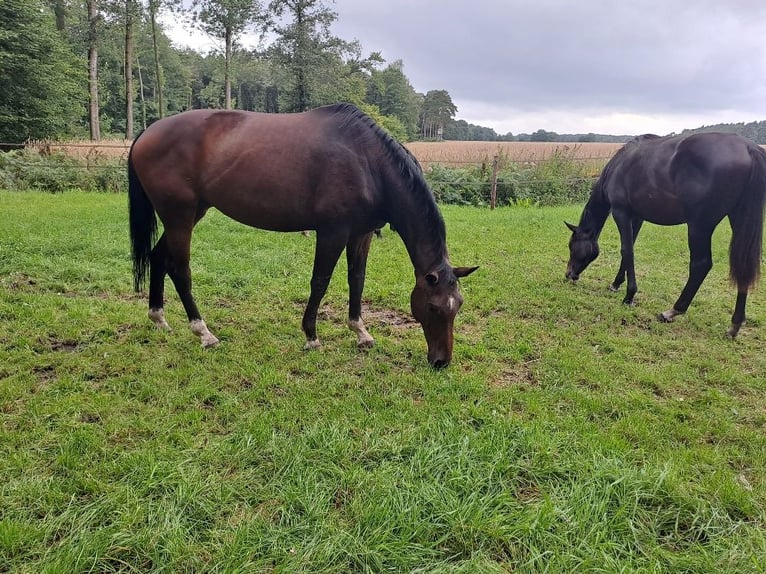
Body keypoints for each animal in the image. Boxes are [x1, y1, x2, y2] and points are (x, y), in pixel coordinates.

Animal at [130, 103, 480, 368]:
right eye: (433, 308)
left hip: (189, 215)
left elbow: (357, 279)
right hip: (180, 217)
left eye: (458, 306)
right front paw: (311, 336)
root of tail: (148, 132)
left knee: (158, 257)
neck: (368, 163)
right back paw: (203, 332)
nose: (441, 362)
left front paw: (360, 332)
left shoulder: (361, 233)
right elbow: (320, 281)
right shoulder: (332, 233)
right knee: (180, 269)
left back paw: (159, 319)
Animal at [564, 132, 766, 338]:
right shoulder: (637, 217)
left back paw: (673, 311)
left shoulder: (621, 213)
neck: (619, 166)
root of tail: (749, 148)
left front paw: (629, 295)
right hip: (739, 218)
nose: (568, 274)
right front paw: (616, 283)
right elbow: (629, 250)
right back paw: (735, 325)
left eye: (571, 246)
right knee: (742, 267)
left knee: (701, 265)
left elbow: (627, 251)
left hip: (699, 226)